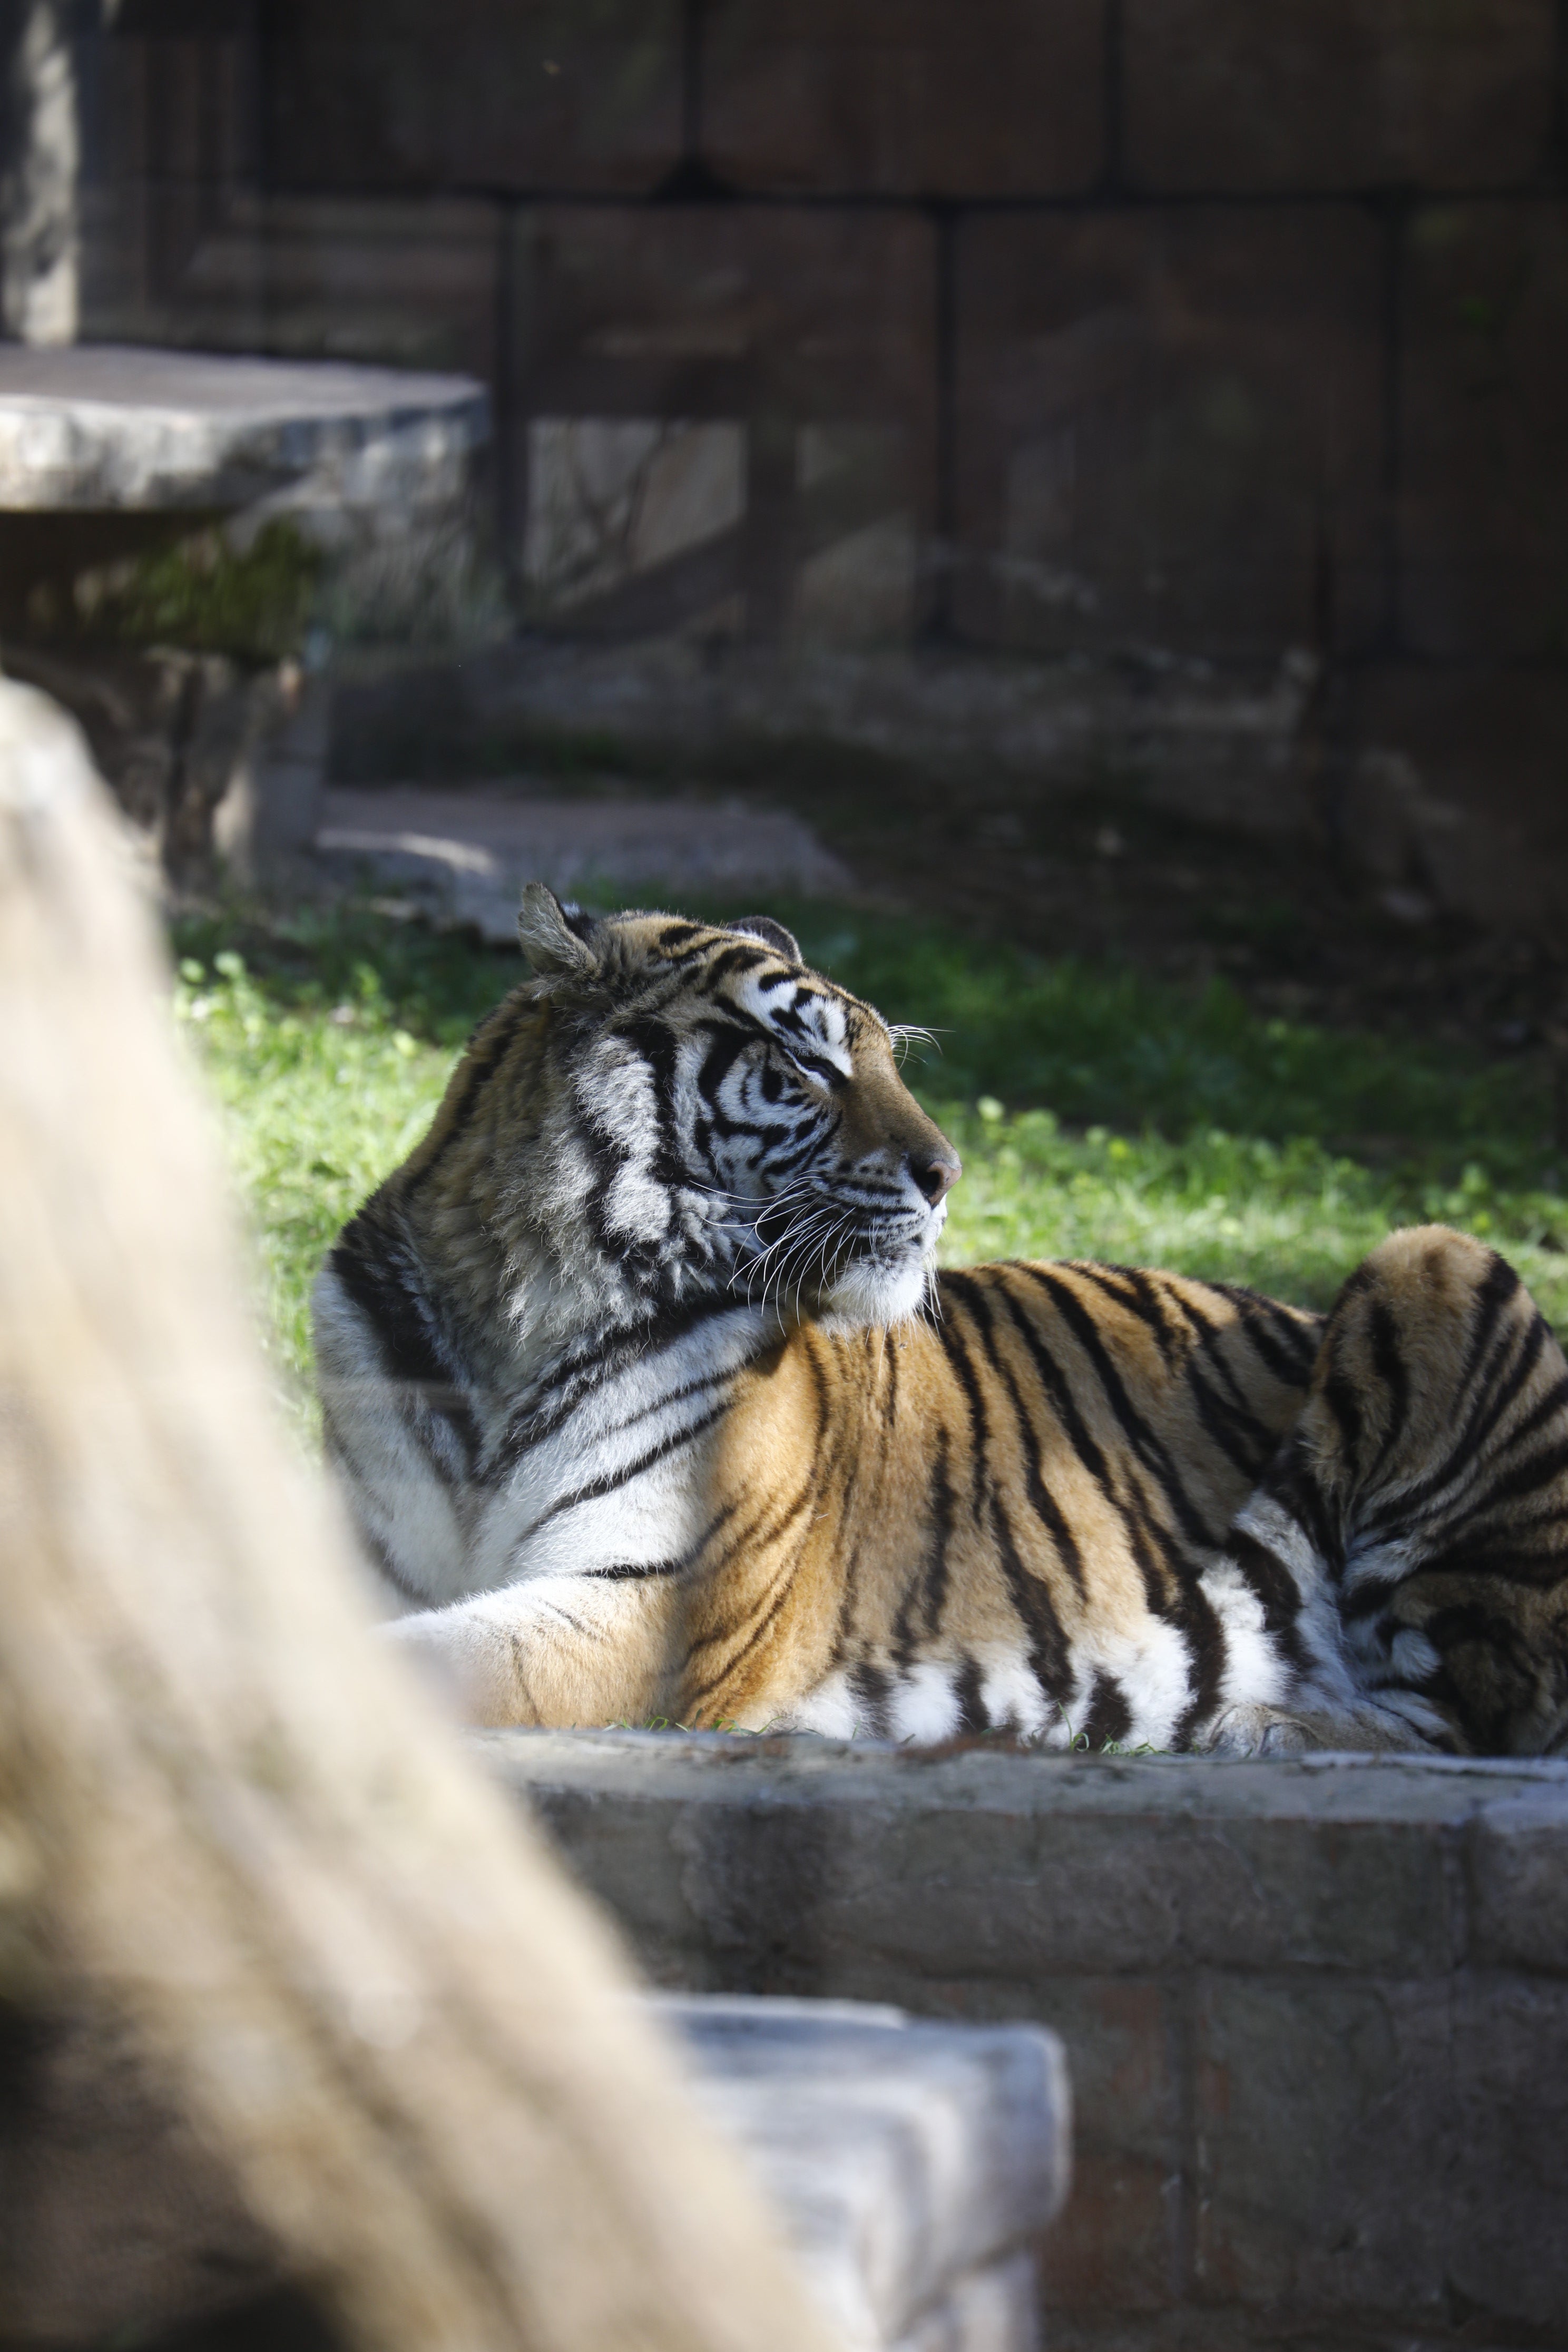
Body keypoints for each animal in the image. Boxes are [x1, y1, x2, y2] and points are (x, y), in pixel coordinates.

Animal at [313, 886, 1568, 1757]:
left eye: (883, 1059)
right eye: (805, 1067)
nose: (947, 1171)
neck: (515, 1311)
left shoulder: (645, 1605)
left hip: (1435, 1256)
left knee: (1469, 1717)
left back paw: (1263, 1725)